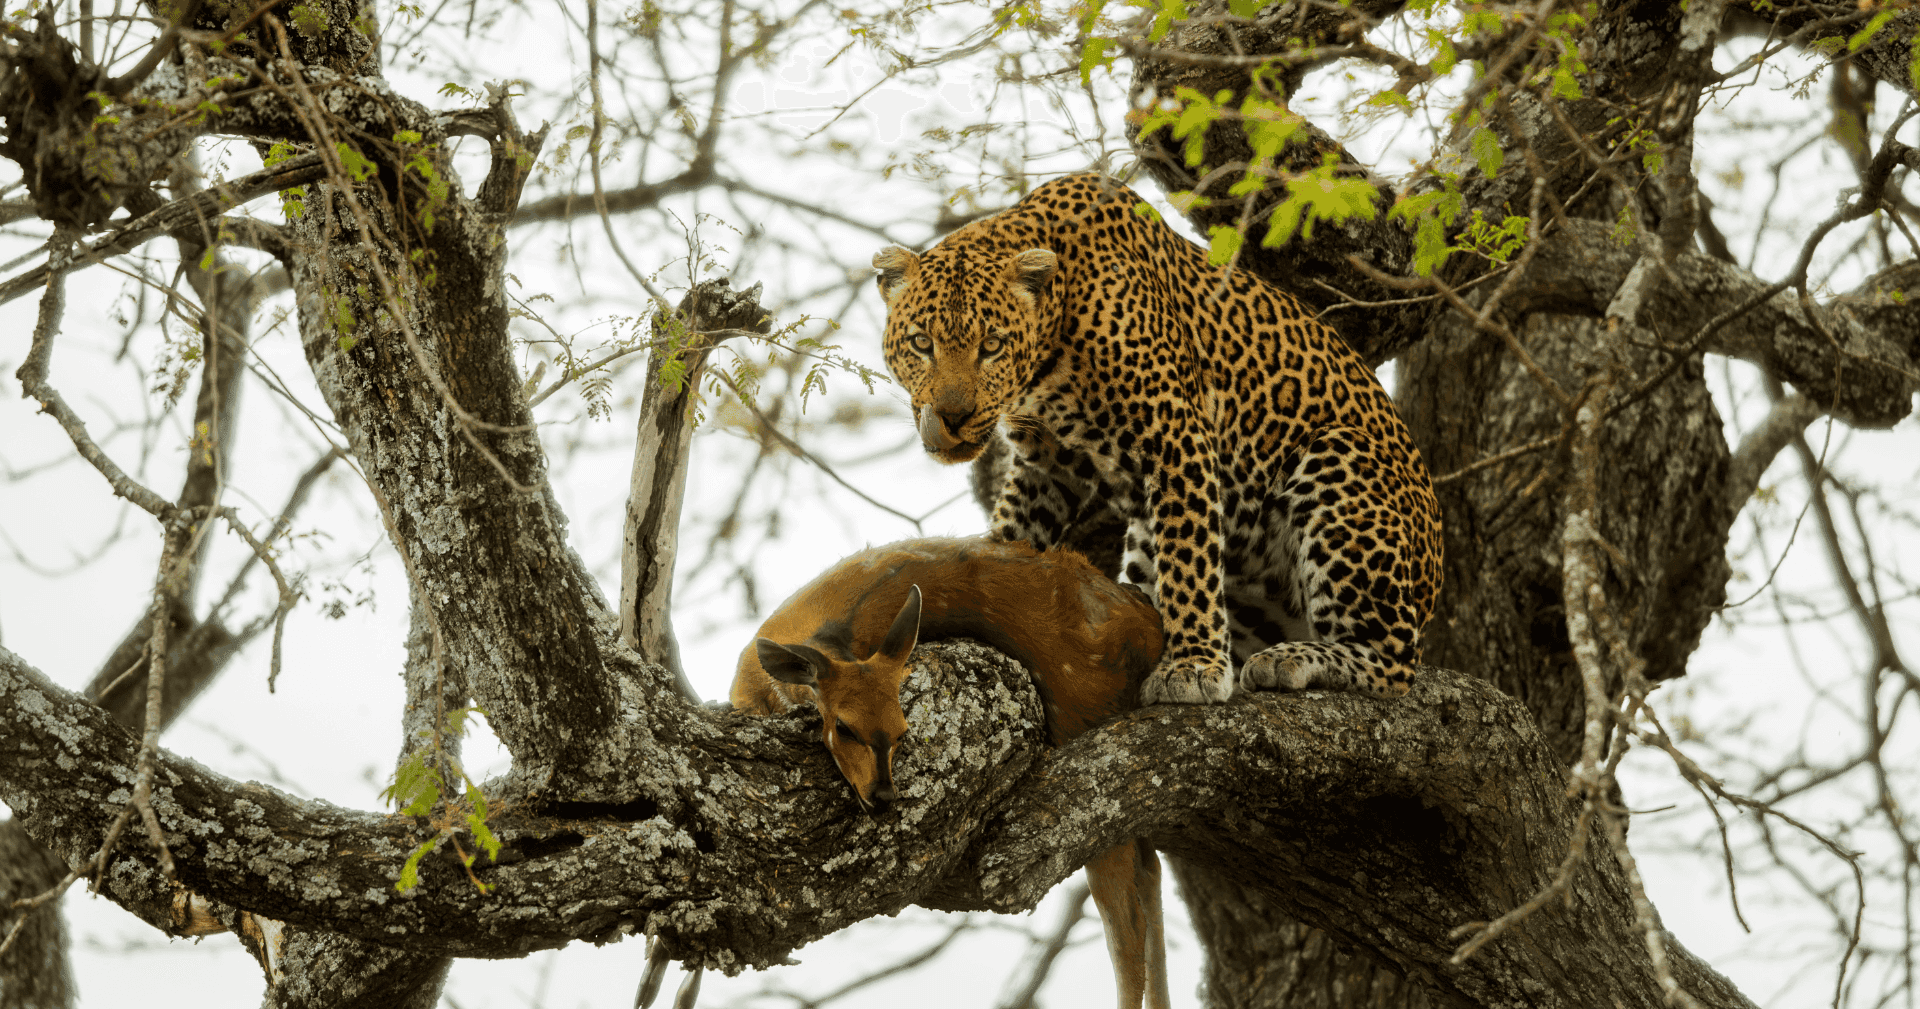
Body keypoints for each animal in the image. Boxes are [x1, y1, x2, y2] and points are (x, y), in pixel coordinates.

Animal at [872, 172, 1442, 705]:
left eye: (991, 346)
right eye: (921, 343)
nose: (953, 416)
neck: (1049, 356)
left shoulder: (1175, 434)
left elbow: (1190, 559)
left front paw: (1193, 666)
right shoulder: (1045, 460)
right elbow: (1015, 534)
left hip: (1338, 456)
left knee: (1395, 662)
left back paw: (1292, 659)